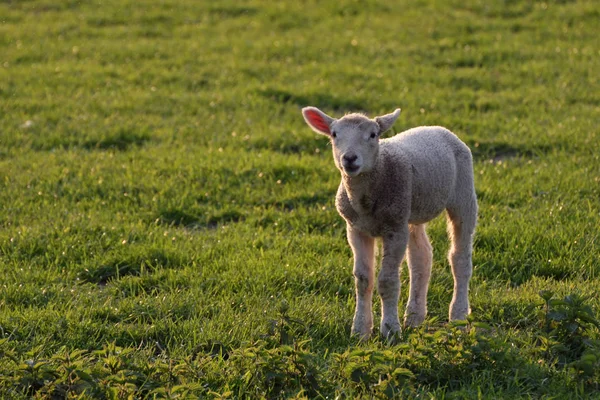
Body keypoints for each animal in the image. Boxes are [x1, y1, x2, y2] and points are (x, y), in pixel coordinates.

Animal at [300, 105, 478, 338]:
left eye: (373, 134)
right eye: (334, 134)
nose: (349, 158)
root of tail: (438, 128)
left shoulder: (394, 228)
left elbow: (387, 281)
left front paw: (390, 330)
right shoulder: (356, 228)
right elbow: (363, 280)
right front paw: (360, 331)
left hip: (463, 195)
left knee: (460, 258)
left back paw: (458, 316)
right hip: (411, 210)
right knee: (421, 257)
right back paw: (414, 316)